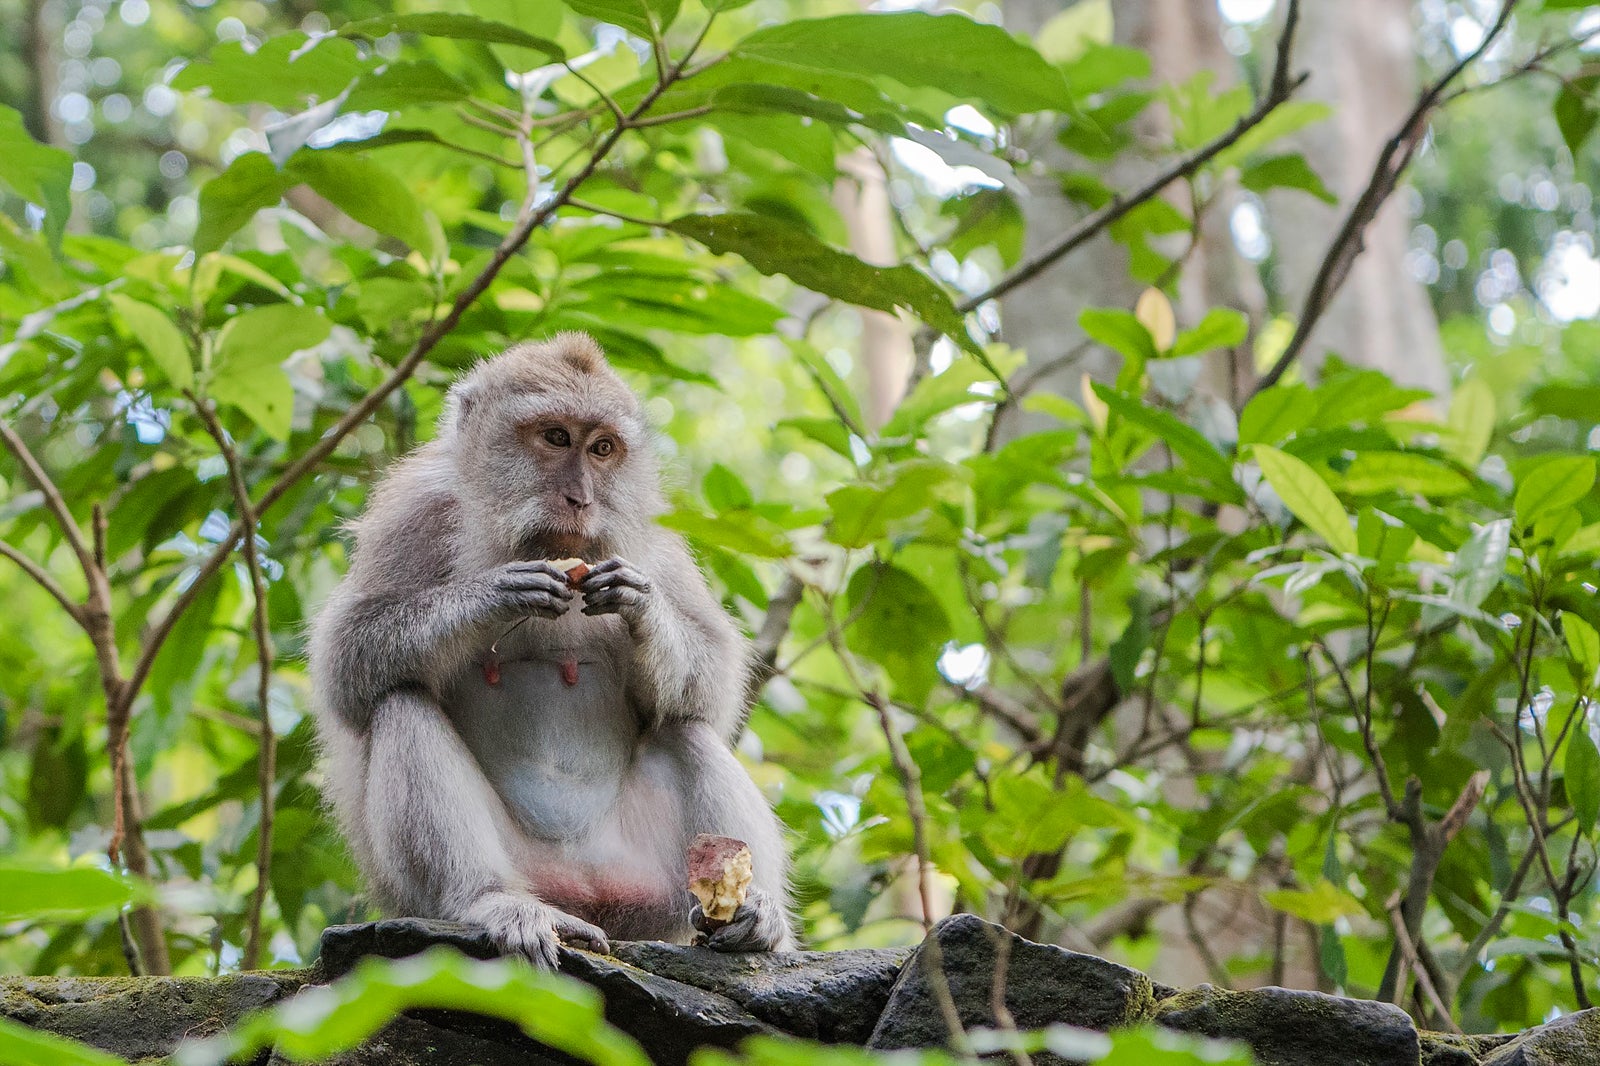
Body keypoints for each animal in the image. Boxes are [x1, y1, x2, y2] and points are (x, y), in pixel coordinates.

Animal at [305, 332, 793, 960]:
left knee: (686, 728)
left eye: (603, 448)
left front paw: (641, 607)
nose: (581, 498)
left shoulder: (652, 540)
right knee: (401, 703)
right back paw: (490, 901)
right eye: (557, 437)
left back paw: (757, 917)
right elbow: (347, 660)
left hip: (648, 890)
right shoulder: (415, 513)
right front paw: (494, 594)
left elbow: (713, 682)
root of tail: (581, 895)